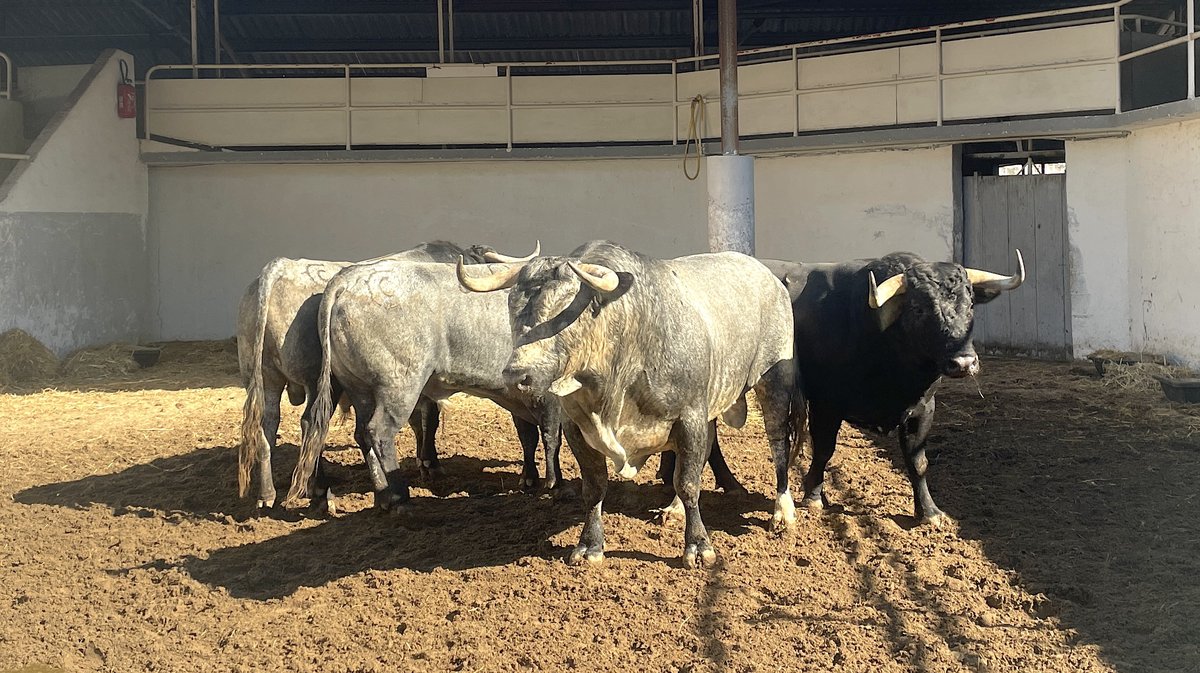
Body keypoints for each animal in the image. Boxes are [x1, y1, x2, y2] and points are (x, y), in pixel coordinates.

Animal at [285, 251, 561, 508]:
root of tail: (346, 281)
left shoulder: (519, 396)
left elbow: (529, 436)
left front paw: (529, 479)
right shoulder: (547, 394)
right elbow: (551, 437)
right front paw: (554, 483)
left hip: (357, 387)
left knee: (357, 432)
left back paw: (382, 494)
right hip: (399, 387)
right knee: (379, 432)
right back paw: (398, 495)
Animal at [458, 241, 806, 566]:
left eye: (563, 310)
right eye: (511, 305)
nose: (517, 374)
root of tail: (768, 277)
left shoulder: (689, 416)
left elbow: (688, 482)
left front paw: (698, 546)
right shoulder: (576, 428)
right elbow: (595, 487)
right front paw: (590, 545)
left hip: (774, 384)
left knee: (778, 445)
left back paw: (782, 512)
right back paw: (675, 509)